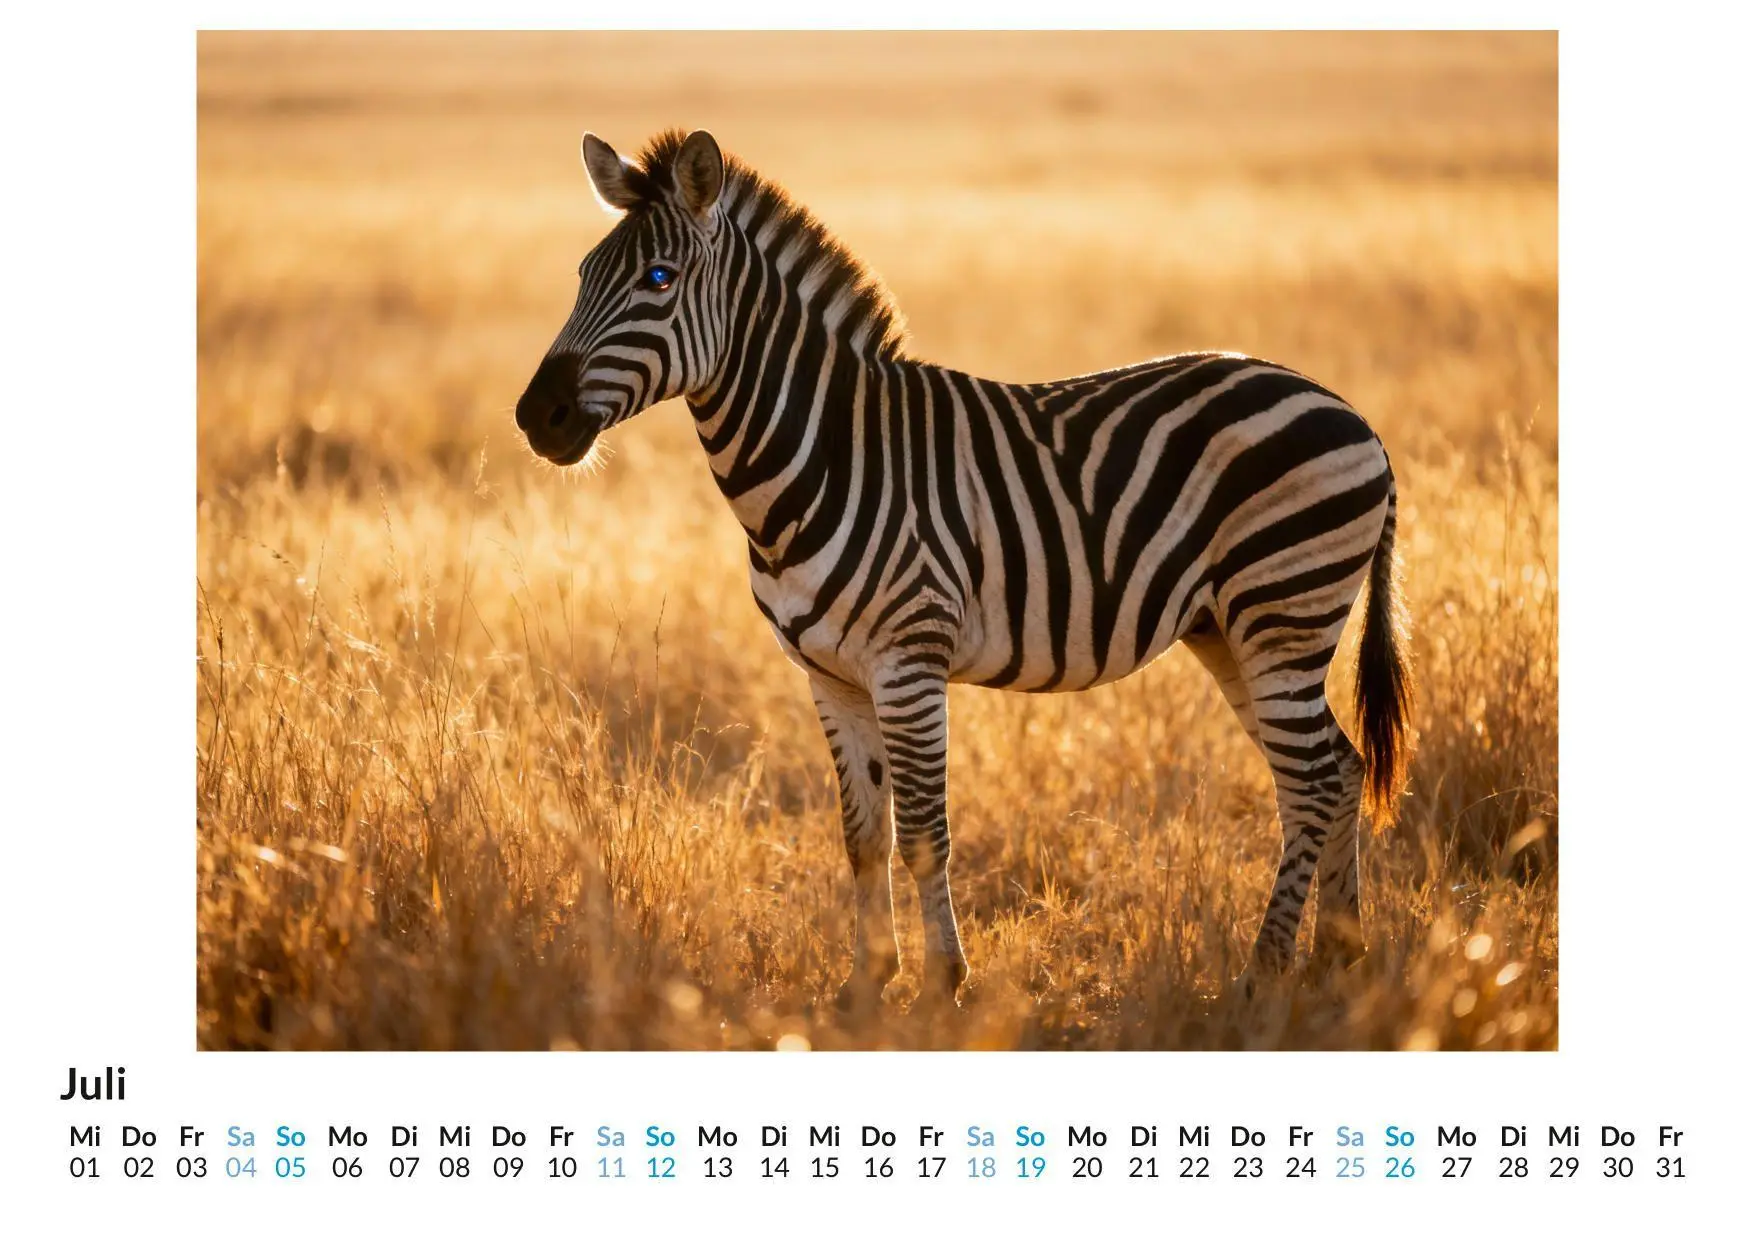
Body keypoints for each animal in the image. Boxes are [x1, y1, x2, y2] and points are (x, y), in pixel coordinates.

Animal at [515, 129, 1412, 1010]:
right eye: (583, 277)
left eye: (658, 280)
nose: (535, 418)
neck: (825, 456)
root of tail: (1350, 412)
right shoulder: (828, 675)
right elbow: (862, 836)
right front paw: (863, 984)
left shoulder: (908, 661)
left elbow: (922, 836)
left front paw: (940, 984)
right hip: (1229, 630)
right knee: (1336, 769)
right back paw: (1337, 955)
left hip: (1280, 612)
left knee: (1311, 780)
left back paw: (1264, 974)